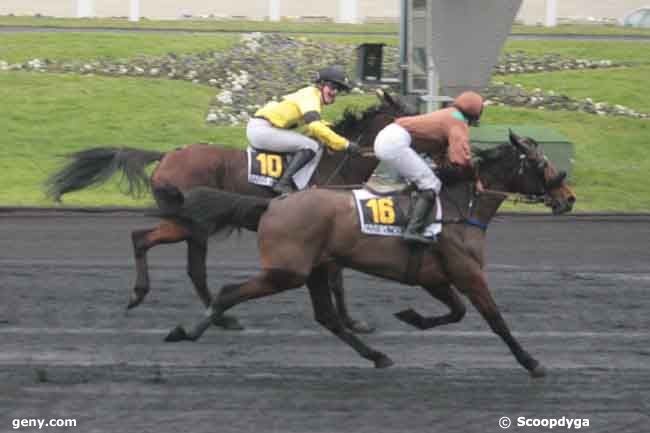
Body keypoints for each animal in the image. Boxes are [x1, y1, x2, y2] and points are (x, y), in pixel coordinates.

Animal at [46, 88, 410, 330]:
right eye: (408, 116)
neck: (337, 164)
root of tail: (166, 156)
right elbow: (336, 279)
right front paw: (352, 322)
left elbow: (337, 280)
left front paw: (352, 321)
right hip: (190, 222)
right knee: (148, 242)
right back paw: (156, 298)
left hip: (192, 226)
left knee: (187, 265)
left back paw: (216, 315)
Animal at [159, 130, 576, 376]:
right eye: (541, 162)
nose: (568, 198)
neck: (460, 206)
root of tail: (275, 203)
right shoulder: (468, 274)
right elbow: (495, 320)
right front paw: (532, 362)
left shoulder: (434, 277)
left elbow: (455, 312)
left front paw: (411, 317)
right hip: (286, 271)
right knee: (229, 292)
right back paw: (189, 331)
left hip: (314, 269)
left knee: (327, 318)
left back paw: (376, 355)